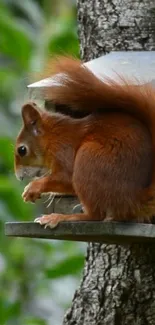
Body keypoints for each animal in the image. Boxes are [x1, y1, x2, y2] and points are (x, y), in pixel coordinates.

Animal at [13, 56, 155, 228]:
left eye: (22, 150)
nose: (18, 177)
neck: (53, 137)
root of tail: (134, 201)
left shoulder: (63, 149)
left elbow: (66, 177)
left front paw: (33, 187)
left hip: (88, 160)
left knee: (96, 215)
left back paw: (61, 217)